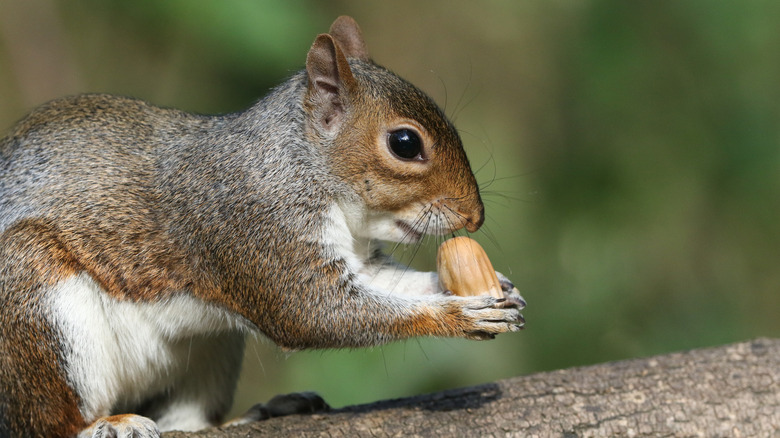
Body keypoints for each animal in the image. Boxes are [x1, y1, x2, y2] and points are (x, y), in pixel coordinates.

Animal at [0, 16, 525, 437]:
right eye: (405, 143)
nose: (475, 216)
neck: (303, 165)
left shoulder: (352, 255)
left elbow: (388, 284)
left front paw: (497, 289)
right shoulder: (257, 227)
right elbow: (313, 312)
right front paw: (458, 315)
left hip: (208, 350)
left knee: (186, 420)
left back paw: (257, 414)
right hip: (32, 300)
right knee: (46, 421)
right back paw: (104, 424)